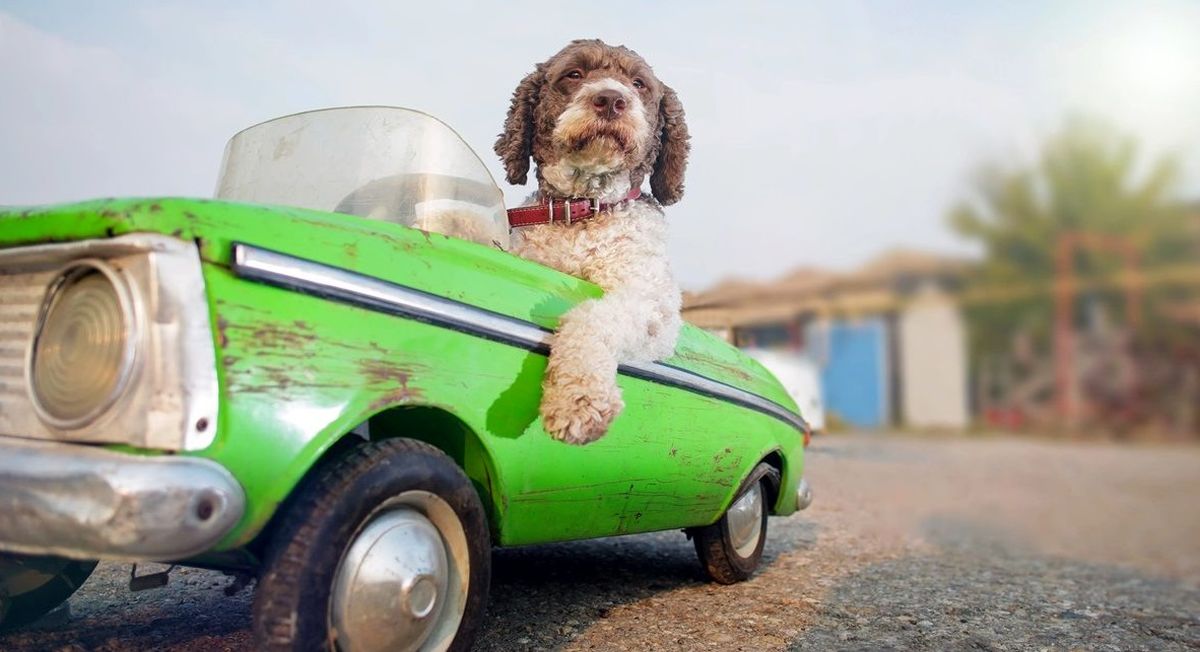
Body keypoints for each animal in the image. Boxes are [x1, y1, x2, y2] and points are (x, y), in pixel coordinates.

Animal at [492, 38, 691, 446]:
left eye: (639, 83)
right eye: (574, 74)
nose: (611, 99)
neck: (583, 212)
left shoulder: (653, 308)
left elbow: (591, 315)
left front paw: (577, 400)